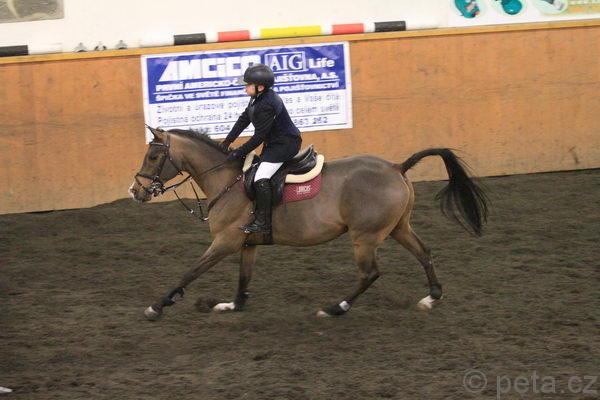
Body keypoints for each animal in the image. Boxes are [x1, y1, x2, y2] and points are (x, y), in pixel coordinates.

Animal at [129, 127, 488, 320]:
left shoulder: (225, 242)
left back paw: (334, 308)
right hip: (398, 228)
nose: (136, 191)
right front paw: (230, 305)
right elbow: (244, 280)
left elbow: (190, 271)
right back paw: (432, 297)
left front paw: (157, 306)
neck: (228, 182)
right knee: (424, 253)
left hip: (365, 237)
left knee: (370, 273)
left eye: (153, 157)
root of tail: (396, 167)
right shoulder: (246, 244)